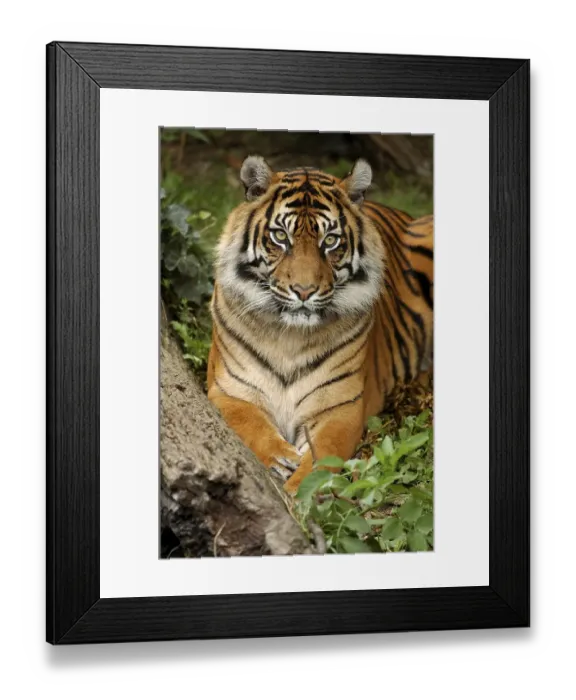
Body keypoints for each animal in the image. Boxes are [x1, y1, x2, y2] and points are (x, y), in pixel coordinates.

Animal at [207, 155, 433, 495]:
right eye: (280, 237)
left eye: (330, 240)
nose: (304, 291)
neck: (288, 337)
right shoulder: (227, 391)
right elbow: (252, 425)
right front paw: (283, 458)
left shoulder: (340, 408)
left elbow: (322, 458)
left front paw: (298, 493)